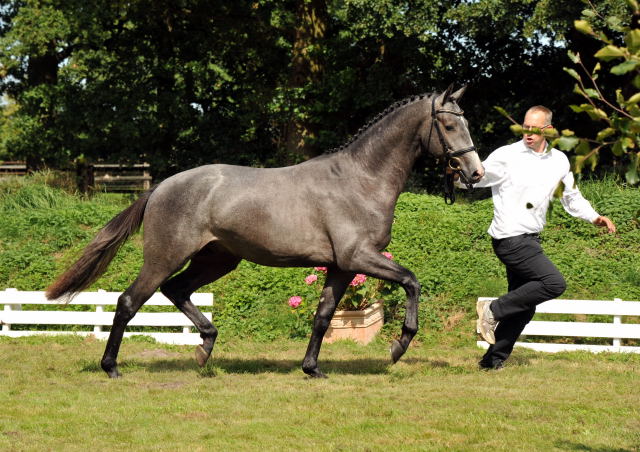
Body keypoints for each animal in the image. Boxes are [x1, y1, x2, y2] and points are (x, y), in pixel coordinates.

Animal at [47, 85, 482, 378]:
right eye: (447, 125)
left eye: (466, 122)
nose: (474, 173)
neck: (361, 179)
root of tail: (161, 187)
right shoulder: (359, 257)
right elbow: (411, 281)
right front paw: (397, 347)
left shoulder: (341, 267)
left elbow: (323, 316)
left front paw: (311, 368)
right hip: (165, 257)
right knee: (129, 301)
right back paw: (111, 367)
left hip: (218, 259)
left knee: (177, 290)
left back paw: (204, 349)